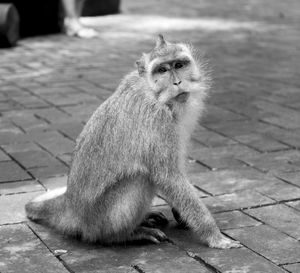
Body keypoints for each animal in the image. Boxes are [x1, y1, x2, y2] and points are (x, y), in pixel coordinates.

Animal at [25, 34, 241, 249]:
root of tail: (69, 204)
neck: (154, 93)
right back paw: (122, 235)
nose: (178, 82)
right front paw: (214, 236)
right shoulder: (157, 118)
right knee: (141, 177)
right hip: (100, 220)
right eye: (162, 70)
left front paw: (180, 214)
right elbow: (168, 176)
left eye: (179, 65)